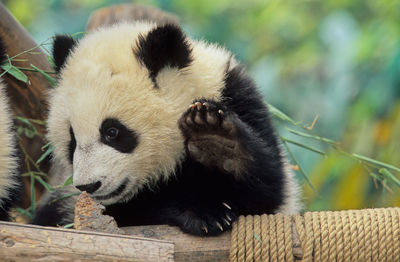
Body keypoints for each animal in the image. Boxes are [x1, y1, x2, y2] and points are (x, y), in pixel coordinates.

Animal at [32, 22, 302, 235]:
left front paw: (216, 141)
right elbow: (134, 212)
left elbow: (267, 192)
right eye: (72, 139)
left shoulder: (238, 97)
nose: (88, 186)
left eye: (112, 132)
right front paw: (203, 214)